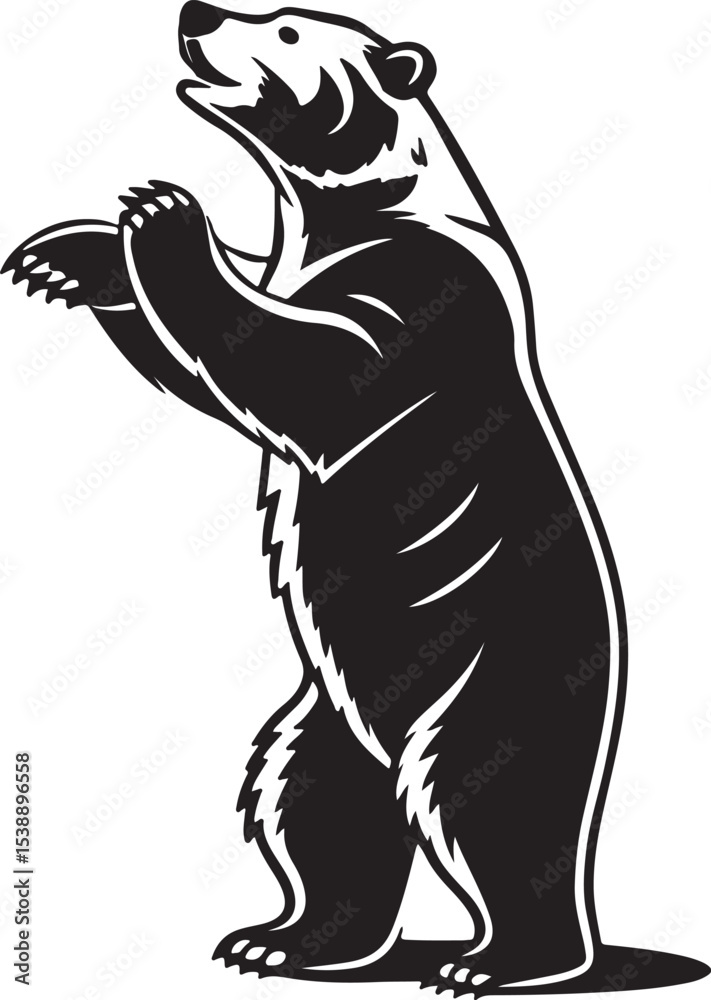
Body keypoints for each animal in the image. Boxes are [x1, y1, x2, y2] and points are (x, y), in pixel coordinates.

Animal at [3, 3, 709, 996]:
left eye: (290, 32)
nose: (196, 12)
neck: (350, 214)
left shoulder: (420, 291)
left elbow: (316, 368)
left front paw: (163, 214)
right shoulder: (298, 264)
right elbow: (223, 374)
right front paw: (66, 256)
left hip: (490, 682)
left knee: (494, 806)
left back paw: (497, 960)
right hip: (332, 711)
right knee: (308, 802)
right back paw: (286, 939)